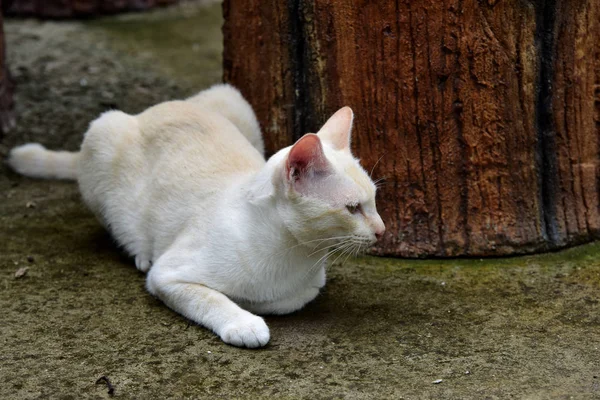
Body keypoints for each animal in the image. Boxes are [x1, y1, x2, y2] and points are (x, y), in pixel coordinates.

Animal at [7, 84, 384, 346]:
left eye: (375, 201)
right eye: (353, 208)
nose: (382, 230)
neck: (291, 256)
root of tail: (160, 107)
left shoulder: (309, 286)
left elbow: (287, 300)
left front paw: (256, 303)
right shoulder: (167, 276)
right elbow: (211, 297)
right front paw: (245, 321)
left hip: (236, 101)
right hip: (103, 134)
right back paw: (140, 252)